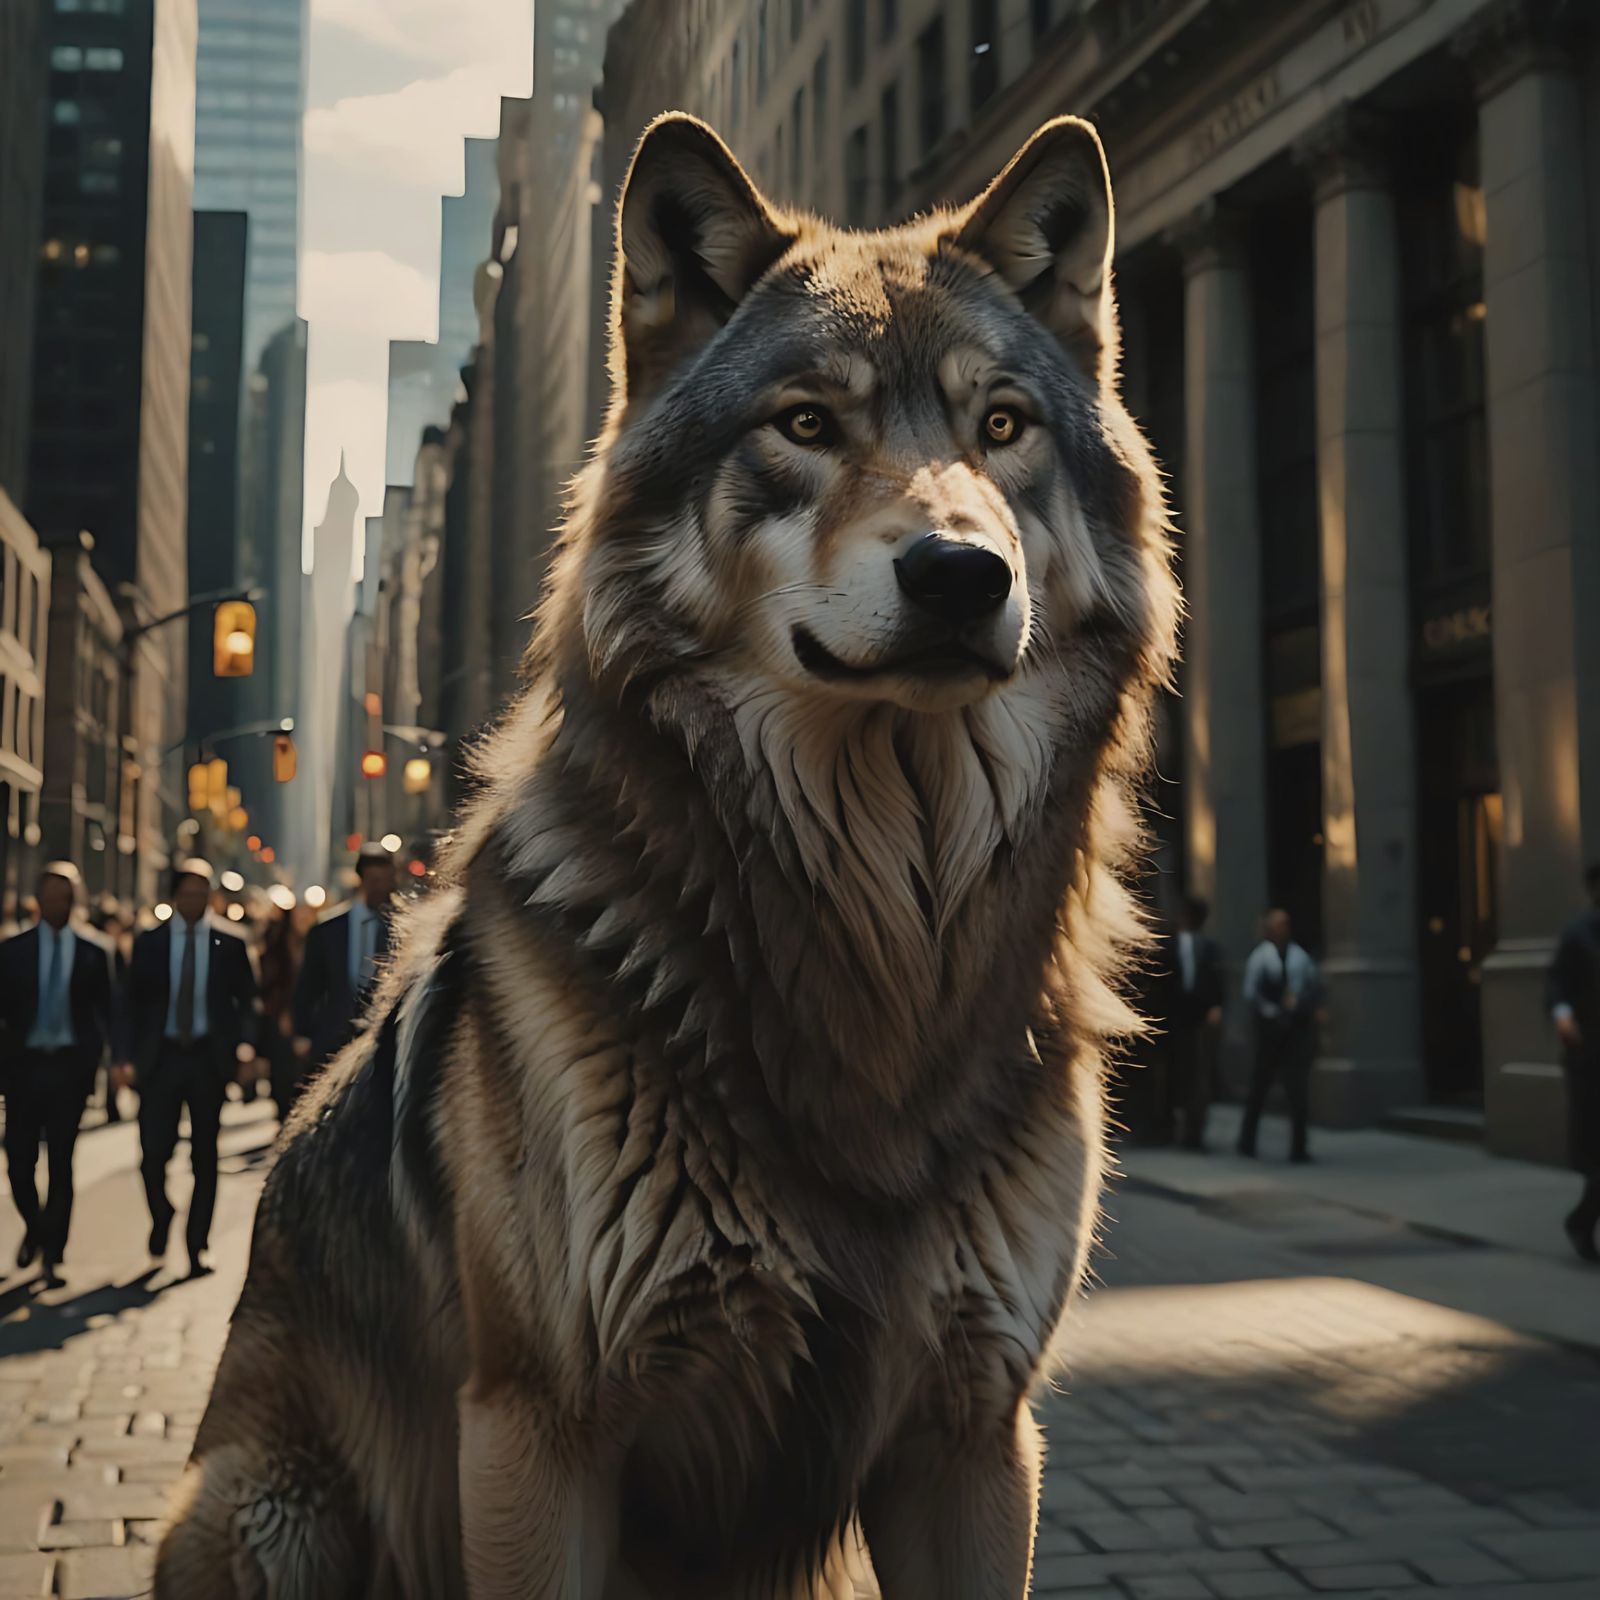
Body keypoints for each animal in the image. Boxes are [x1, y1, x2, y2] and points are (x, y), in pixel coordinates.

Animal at [156, 112, 1178, 1599]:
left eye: (1002, 427)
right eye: (806, 424)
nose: (960, 573)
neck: (879, 937)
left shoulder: (975, 1434)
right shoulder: (538, 1432)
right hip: (270, 1516)